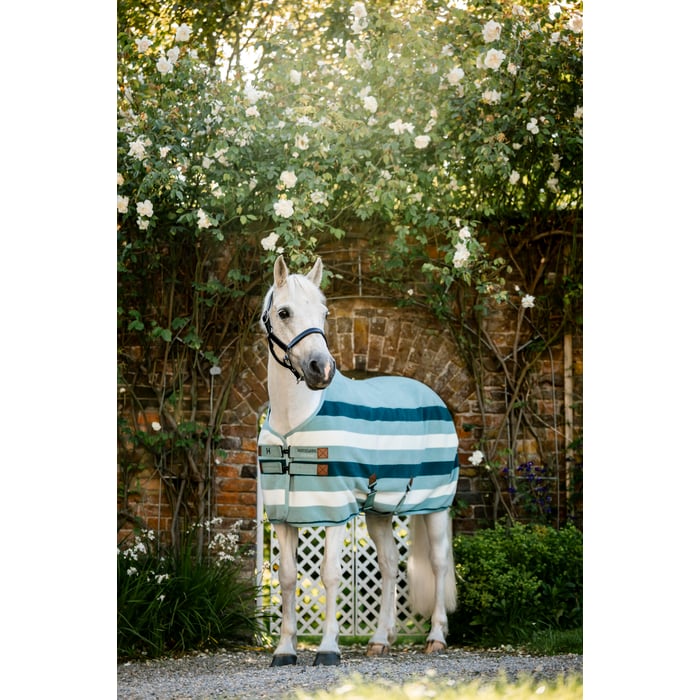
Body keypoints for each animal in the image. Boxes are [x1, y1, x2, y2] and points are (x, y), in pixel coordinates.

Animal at [257, 255, 459, 666]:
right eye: (284, 312)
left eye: (324, 313)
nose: (321, 369)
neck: (293, 423)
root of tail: (432, 396)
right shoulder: (285, 515)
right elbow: (287, 577)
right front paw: (284, 650)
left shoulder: (334, 510)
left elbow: (330, 574)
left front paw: (328, 649)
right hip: (379, 511)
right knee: (390, 566)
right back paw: (381, 639)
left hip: (434, 505)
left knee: (439, 563)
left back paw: (436, 637)